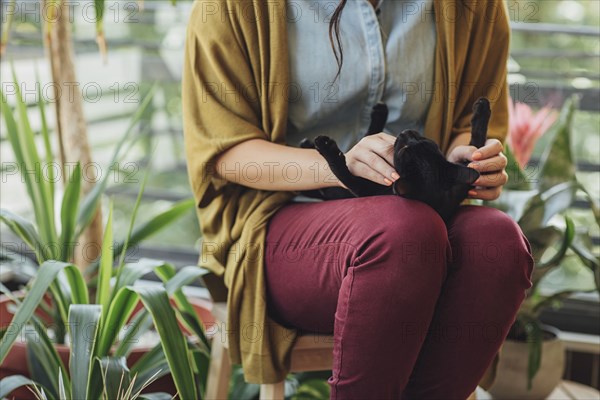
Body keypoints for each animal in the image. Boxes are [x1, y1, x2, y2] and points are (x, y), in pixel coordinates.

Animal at [300, 97, 492, 222]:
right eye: (425, 141)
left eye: (404, 150)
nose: (406, 132)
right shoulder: (459, 188)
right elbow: (476, 144)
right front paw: (482, 110)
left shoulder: (363, 189)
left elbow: (341, 171)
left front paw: (327, 147)